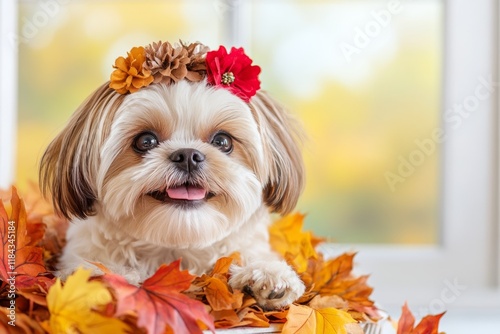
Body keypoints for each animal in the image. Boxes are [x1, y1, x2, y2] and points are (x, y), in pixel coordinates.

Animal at [39, 41, 304, 310]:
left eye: (223, 141)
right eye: (145, 141)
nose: (187, 155)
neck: (175, 250)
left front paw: (266, 275)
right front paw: (100, 277)